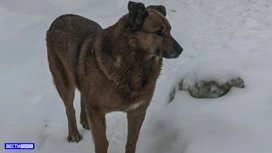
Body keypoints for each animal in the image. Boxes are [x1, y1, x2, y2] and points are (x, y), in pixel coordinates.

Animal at [46, 1, 183, 153]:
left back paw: (85, 120)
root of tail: (60, 18)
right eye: (159, 32)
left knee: (82, 97)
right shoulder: (97, 112)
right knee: (69, 108)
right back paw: (74, 133)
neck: (133, 64)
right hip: (64, 82)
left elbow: (131, 142)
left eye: (170, 30)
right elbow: (102, 144)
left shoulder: (137, 111)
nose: (181, 50)